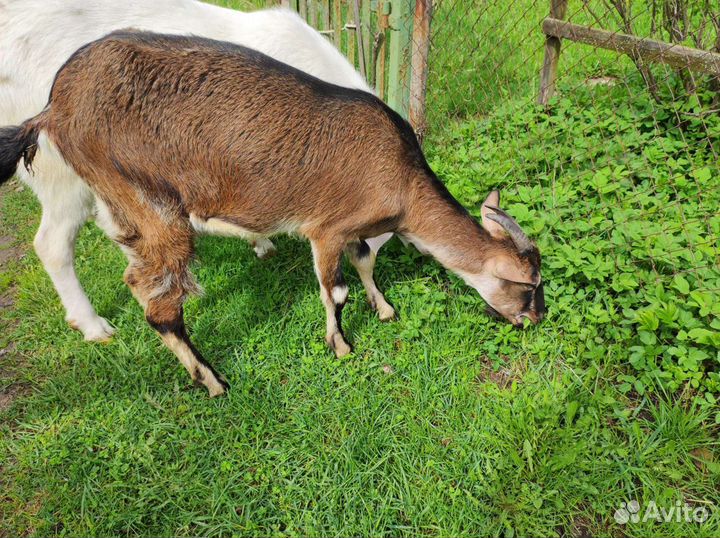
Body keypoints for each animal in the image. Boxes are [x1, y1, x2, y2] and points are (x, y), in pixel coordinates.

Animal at [0, 31, 544, 396]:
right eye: (527, 285)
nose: (534, 320)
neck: (403, 181)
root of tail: (53, 105)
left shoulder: (355, 229)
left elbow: (366, 261)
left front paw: (385, 308)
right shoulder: (326, 228)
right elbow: (335, 290)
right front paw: (341, 346)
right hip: (143, 193)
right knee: (155, 296)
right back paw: (211, 379)